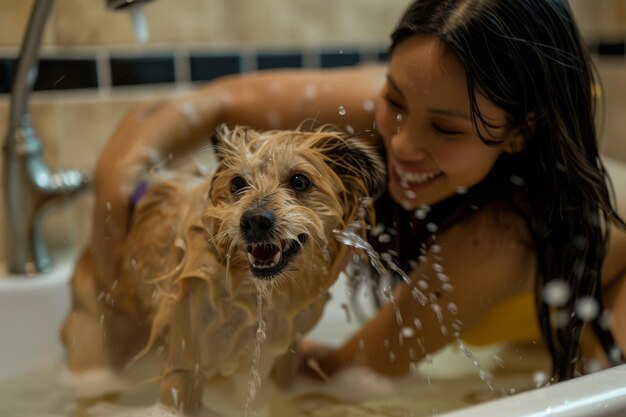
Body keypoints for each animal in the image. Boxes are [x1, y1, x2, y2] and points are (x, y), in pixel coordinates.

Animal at [62, 123, 386, 412]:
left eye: (299, 181)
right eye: (237, 183)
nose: (254, 220)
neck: (260, 292)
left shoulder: (286, 354)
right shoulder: (184, 362)